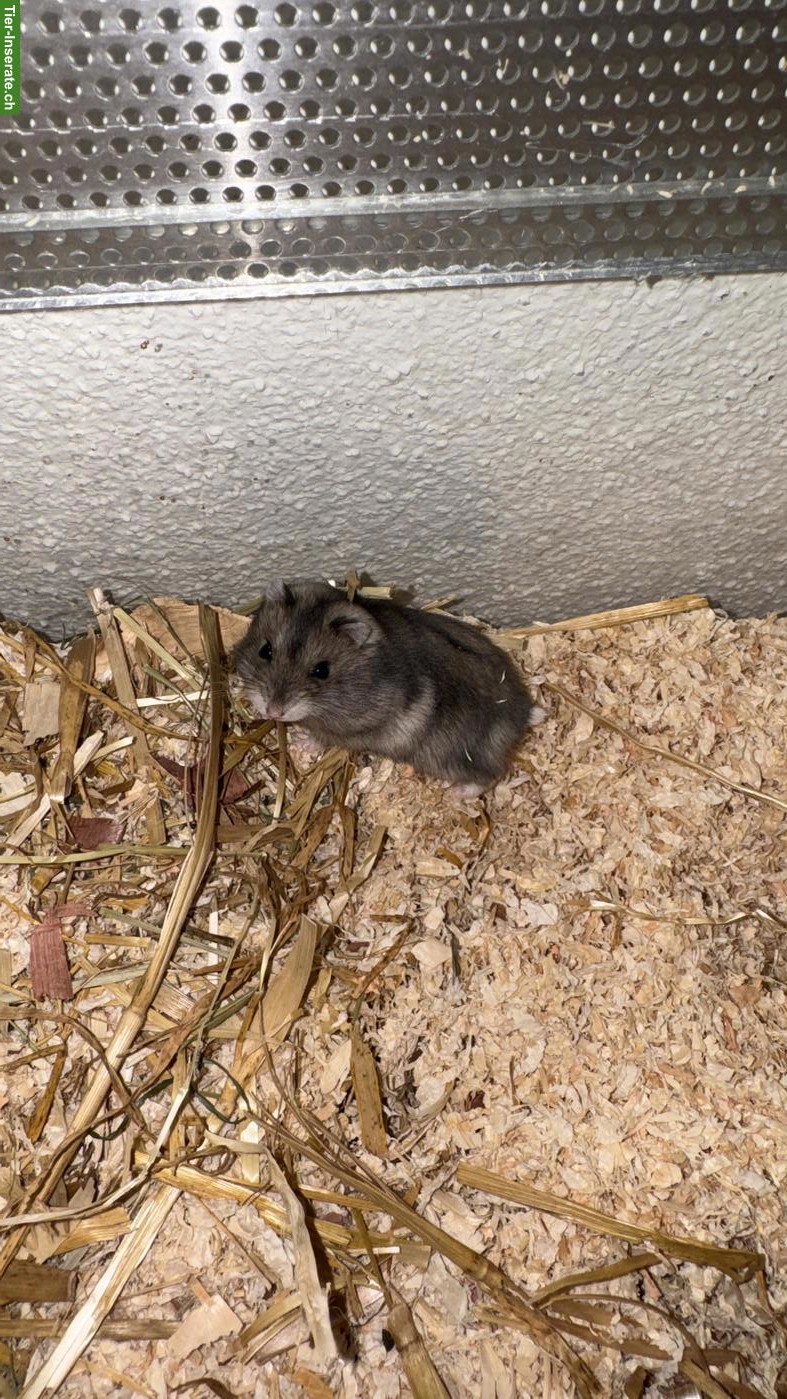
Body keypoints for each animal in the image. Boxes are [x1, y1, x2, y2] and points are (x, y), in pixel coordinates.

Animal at [233, 580, 534, 798]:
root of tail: (523, 714)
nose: (273, 712)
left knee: (489, 775)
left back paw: (454, 794)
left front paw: (300, 742)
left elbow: (323, 737)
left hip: (456, 758)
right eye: (265, 650)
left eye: (321, 671)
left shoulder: (354, 729)